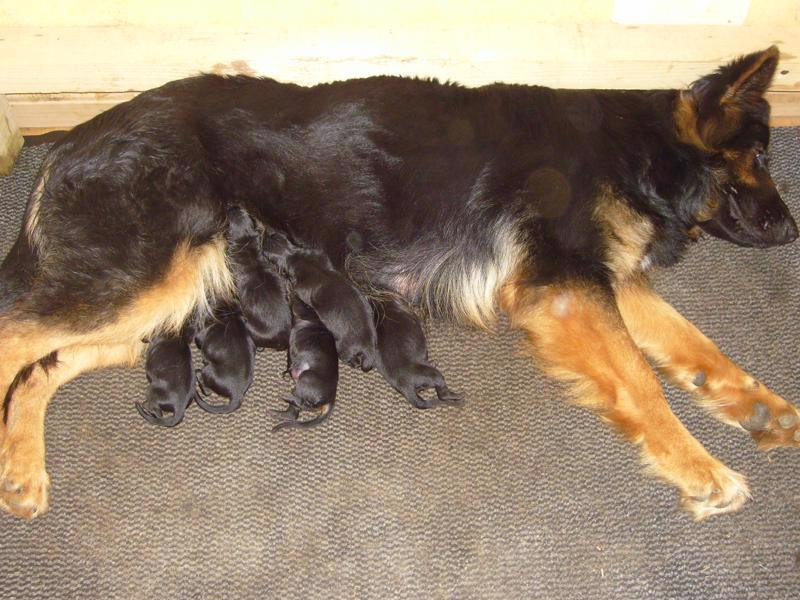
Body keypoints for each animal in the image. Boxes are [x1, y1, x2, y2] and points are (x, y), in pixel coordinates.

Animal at [263, 230, 377, 371]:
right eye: (275, 234)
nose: (265, 236)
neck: (293, 254)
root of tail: (368, 350)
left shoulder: (301, 289)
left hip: (344, 349)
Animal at [270, 296, 339, 431]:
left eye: (306, 304)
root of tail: (330, 399)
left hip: (306, 377)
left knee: (304, 405)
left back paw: (286, 396)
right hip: (300, 386)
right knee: (294, 413)